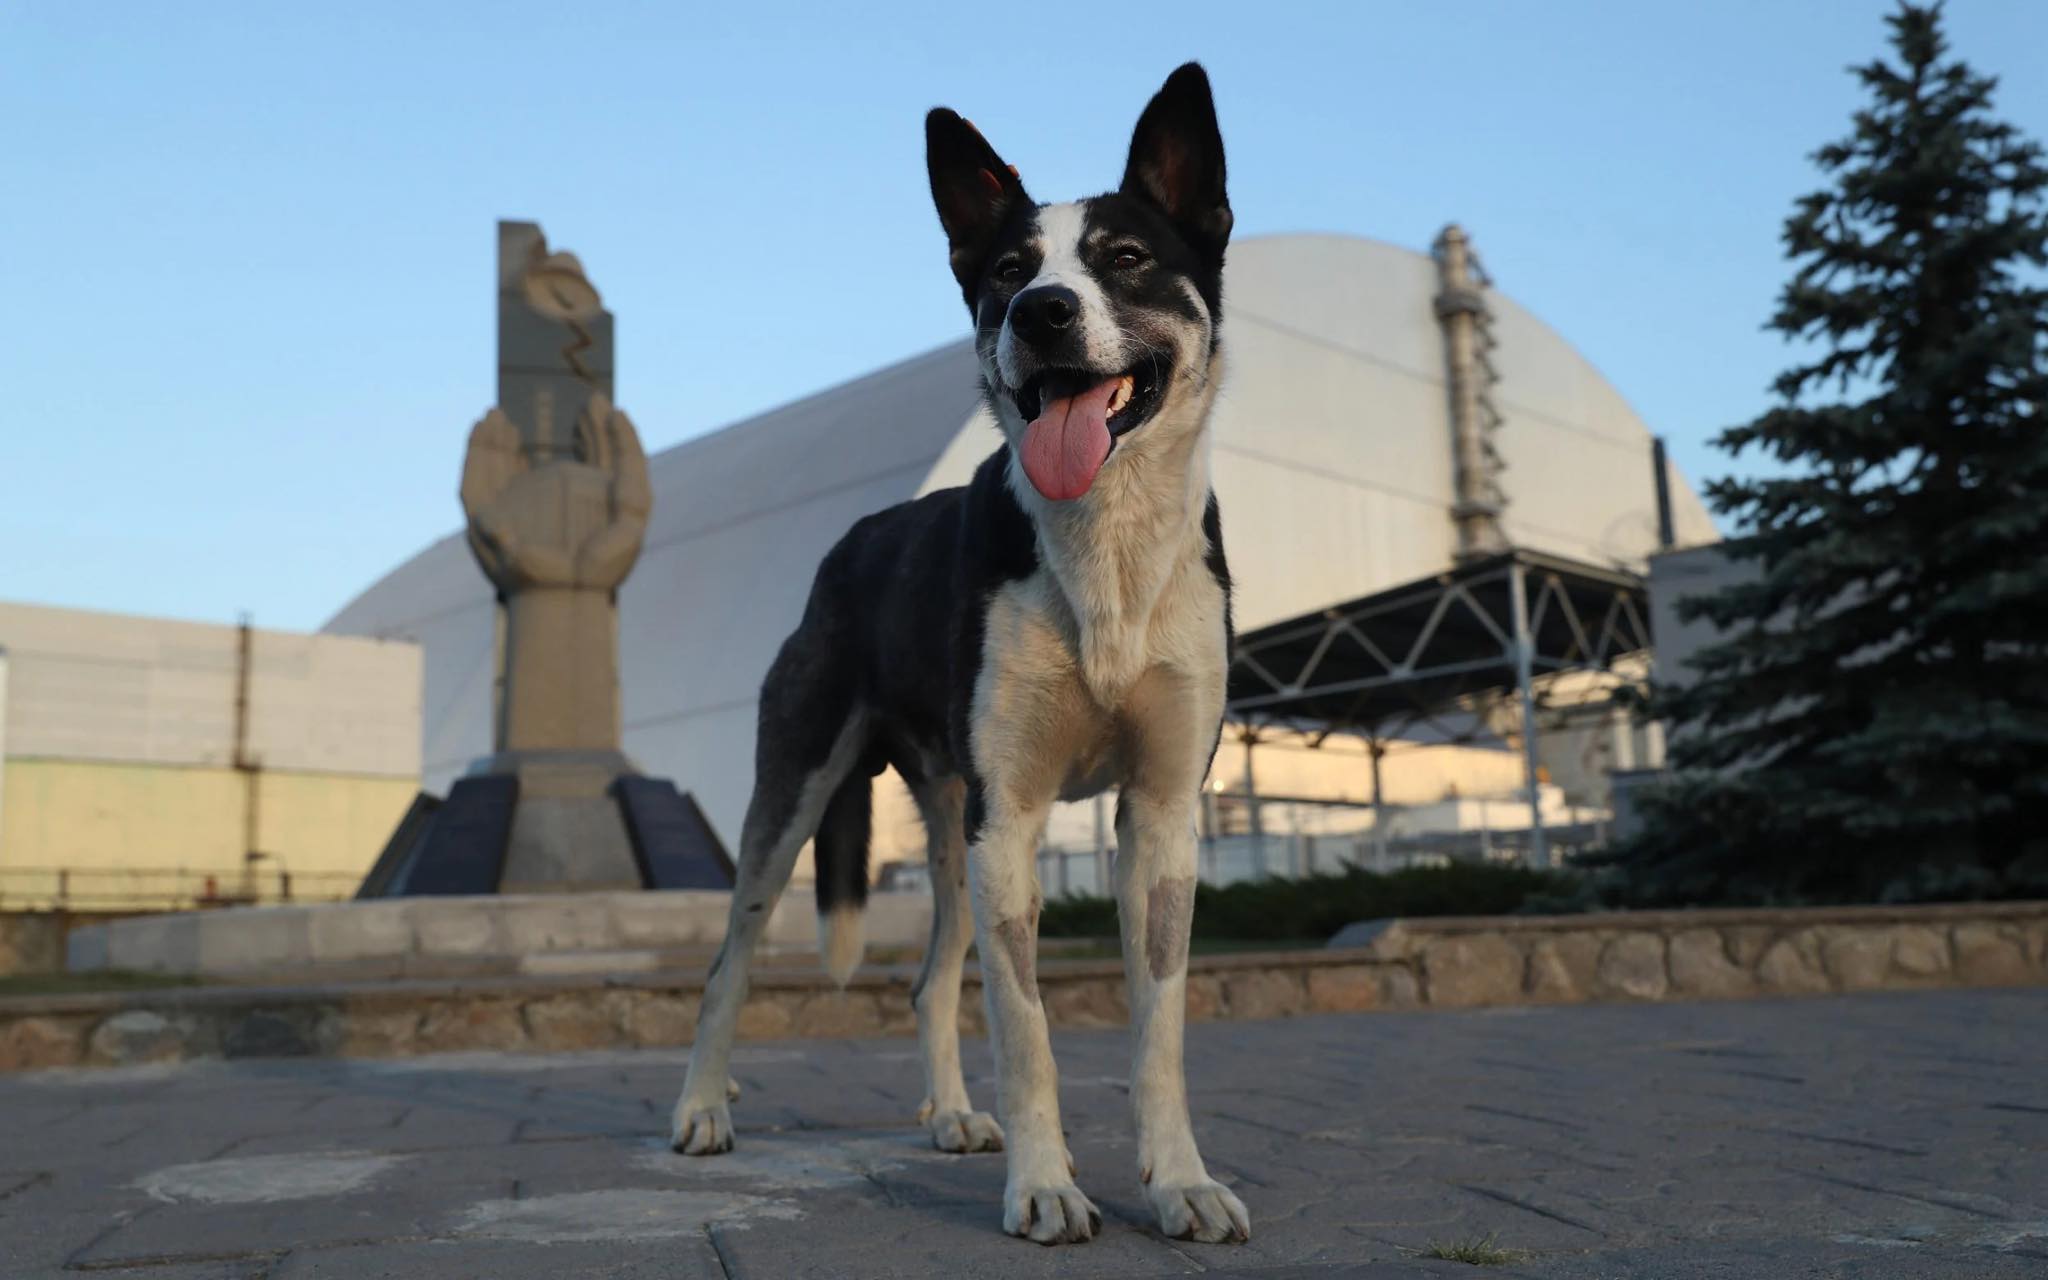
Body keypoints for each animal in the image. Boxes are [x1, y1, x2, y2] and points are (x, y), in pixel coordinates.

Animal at [675, 62, 1245, 1245]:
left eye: (1126, 257)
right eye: (1007, 272)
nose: (1042, 312)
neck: (1105, 546)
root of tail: (850, 541)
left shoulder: (1161, 813)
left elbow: (1158, 1026)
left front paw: (1178, 1181)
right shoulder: (1012, 814)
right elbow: (1025, 1029)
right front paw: (1044, 1185)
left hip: (947, 829)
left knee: (931, 975)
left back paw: (946, 1113)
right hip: (799, 796)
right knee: (728, 960)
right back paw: (702, 1108)